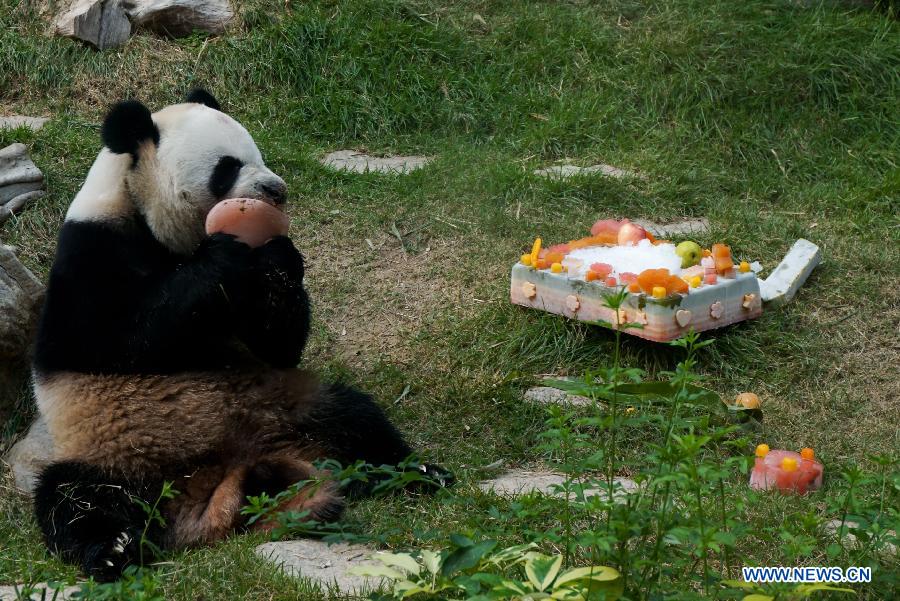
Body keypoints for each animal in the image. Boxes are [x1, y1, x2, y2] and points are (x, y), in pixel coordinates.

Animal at [31, 90, 450, 580]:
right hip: (115, 453)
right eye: (227, 167)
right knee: (75, 499)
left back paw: (412, 473)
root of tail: (213, 487)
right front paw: (224, 255)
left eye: (259, 155)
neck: (142, 210)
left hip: (287, 406)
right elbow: (116, 339)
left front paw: (279, 256)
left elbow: (277, 346)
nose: (277, 190)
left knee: (356, 419)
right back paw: (113, 550)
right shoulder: (91, 254)